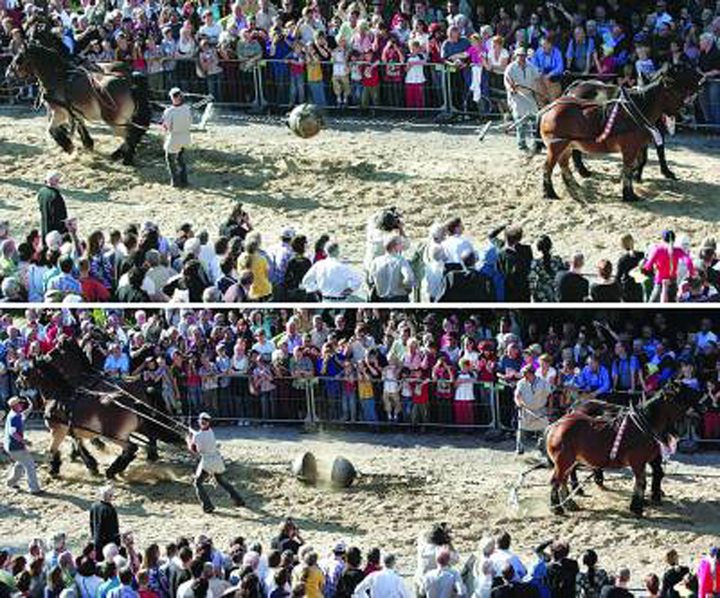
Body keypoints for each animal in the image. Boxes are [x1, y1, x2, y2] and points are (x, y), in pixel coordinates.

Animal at [4, 23, 152, 165]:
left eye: (19, 58)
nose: (8, 74)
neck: (58, 76)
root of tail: (129, 83)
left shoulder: (60, 112)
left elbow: (52, 129)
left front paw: (69, 147)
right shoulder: (74, 112)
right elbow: (75, 126)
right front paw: (85, 144)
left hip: (116, 122)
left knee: (131, 135)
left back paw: (125, 157)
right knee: (133, 133)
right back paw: (123, 155)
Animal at [540, 64, 704, 203]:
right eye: (674, 90)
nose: (701, 80)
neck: (637, 109)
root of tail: (551, 108)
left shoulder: (640, 145)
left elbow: (637, 164)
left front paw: (636, 180)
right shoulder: (629, 149)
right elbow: (627, 170)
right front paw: (629, 194)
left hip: (567, 146)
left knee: (564, 165)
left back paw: (574, 186)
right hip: (556, 146)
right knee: (548, 167)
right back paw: (551, 192)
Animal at [548, 382, 700, 516]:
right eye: (685, 392)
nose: (702, 401)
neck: (644, 424)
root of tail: (557, 424)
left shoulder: (645, 461)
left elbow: (647, 479)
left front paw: (642, 502)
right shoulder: (638, 461)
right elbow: (641, 482)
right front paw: (638, 508)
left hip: (569, 461)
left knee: (563, 479)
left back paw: (570, 503)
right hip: (563, 461)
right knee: (556, 480)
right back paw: (557, 508)